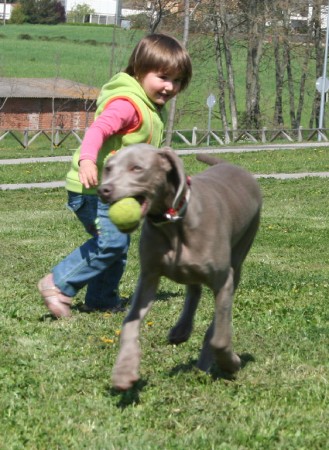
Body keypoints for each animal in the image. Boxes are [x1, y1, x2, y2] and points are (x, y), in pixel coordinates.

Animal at [97, 144, 262, 390]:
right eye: (108, 168)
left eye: (137, 168)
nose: (104, 190)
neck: (172, 223)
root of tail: (232, 165)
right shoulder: (148, 277)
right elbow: (129, 323)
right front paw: (124, 371)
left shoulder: (223, 282)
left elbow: (219, 337)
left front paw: (230, 363)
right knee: (194, 289)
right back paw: (181, 329)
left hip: (241, 251)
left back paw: (205, 362)